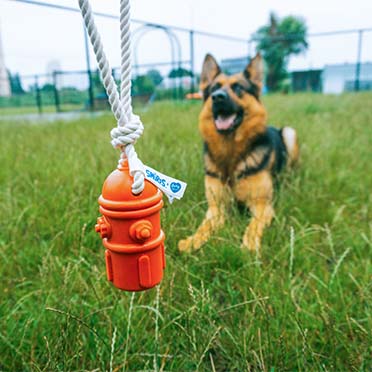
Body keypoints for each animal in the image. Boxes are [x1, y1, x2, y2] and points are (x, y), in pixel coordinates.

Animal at [178, 53, 300, 253]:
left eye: (238, 87)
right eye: (214, 88)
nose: (217, 97)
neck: (231, 153)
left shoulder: (262, 205)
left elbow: (253, 225)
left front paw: (249, 245)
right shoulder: (216, 207)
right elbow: (205, 226)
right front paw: (193, 240)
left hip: (290, 133)